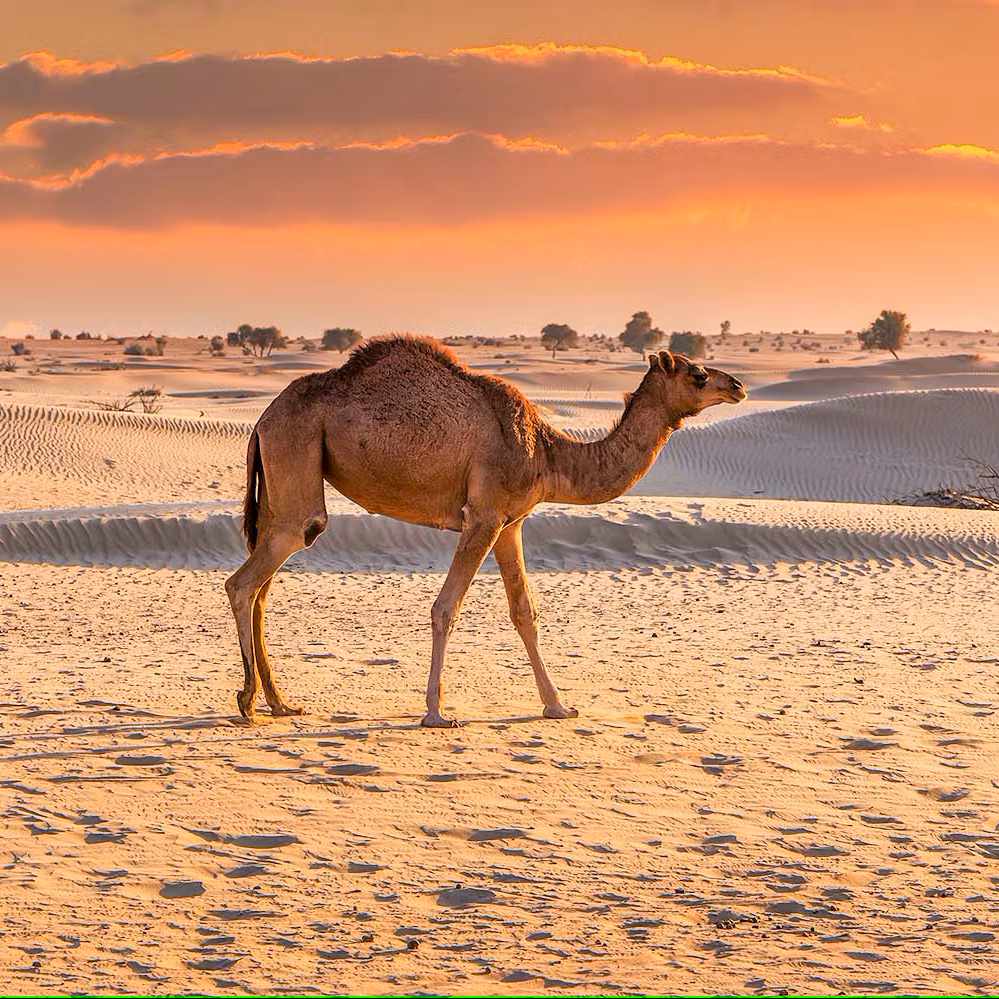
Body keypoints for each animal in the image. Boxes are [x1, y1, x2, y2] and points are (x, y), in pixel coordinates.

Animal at [225, 335, 745, 727]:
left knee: (263, 587)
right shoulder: (484, 515)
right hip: (295, 455)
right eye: (698, 375)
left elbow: (524, 612)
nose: (738, 385)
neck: (548, 452)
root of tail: (262, 419)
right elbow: (446, 608)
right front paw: (436, 713)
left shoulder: (511, 522)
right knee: (247, 579)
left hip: (281, 478)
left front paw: (558, 706)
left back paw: (279, 703)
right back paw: (247, 700)